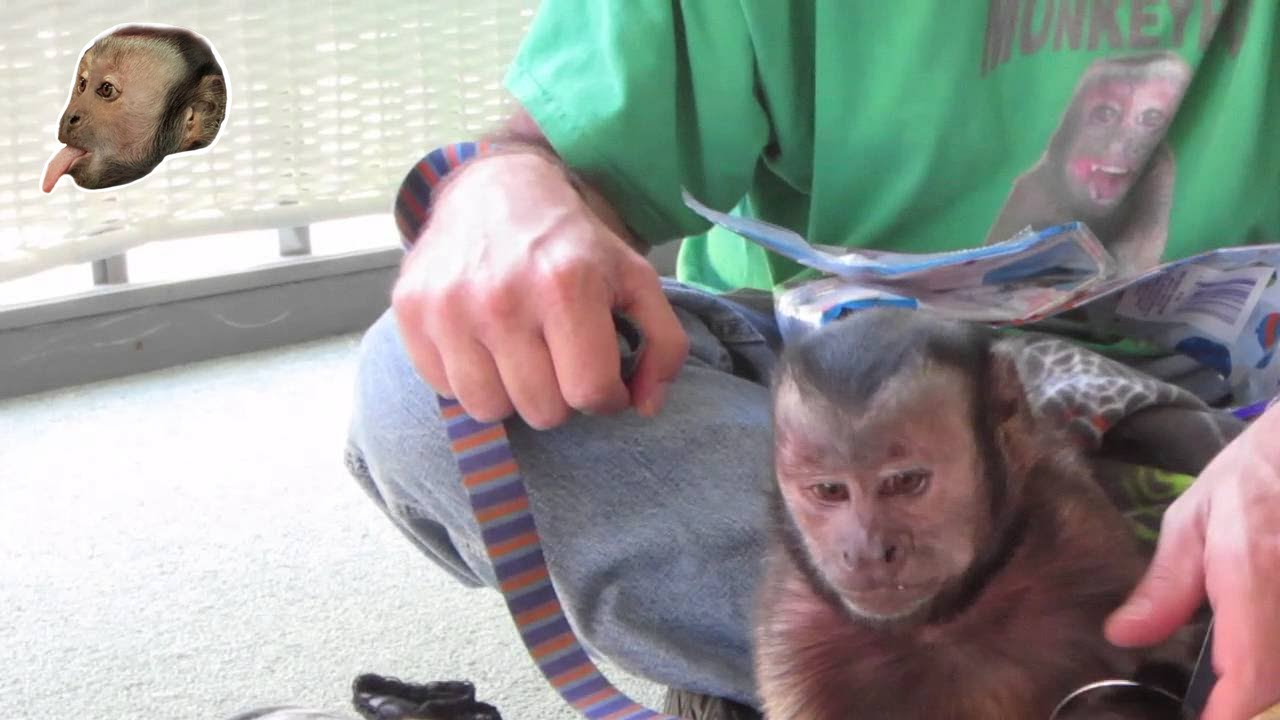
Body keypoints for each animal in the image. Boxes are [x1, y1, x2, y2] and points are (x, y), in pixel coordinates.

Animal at [753, 308, 1193, 720]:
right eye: (830, 491)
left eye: (904, 482)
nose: (865, 552)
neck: (943, 623)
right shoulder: (792, 638)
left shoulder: (1085, 536)